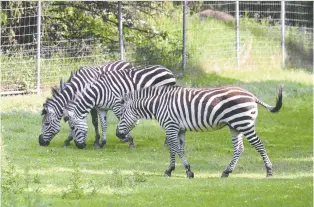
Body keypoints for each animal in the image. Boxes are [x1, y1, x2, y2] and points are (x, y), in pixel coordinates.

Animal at [116, 84, 284, 178]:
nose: (118, 134)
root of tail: (252, 96)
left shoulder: (171, 126)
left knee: (259, 145)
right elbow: (176, 149)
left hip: (244, 123)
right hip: (235, 126)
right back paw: (226, 172)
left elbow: (175, 148)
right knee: (239, 148)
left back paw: (269, 171)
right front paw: (173, 170)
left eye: (122, 115)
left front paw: (184, 171)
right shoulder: (179, 129)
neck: (158, 104)